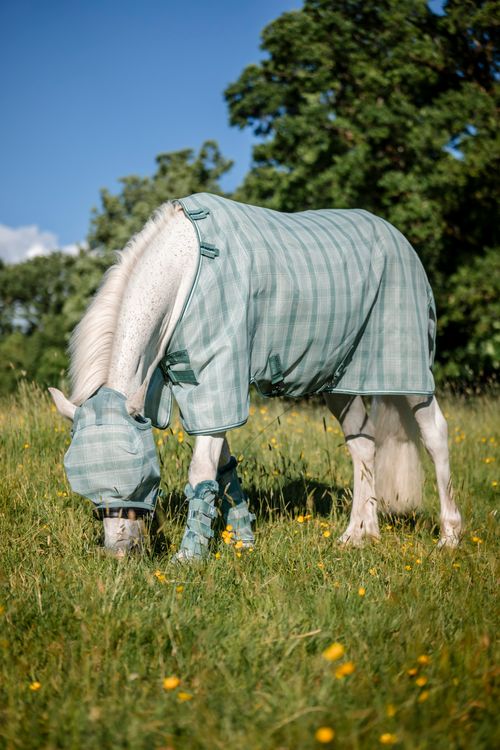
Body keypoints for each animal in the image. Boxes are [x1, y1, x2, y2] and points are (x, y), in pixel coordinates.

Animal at [50, 193, 462, 559]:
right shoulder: (205, 387)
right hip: (342, 382)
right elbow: (223, 466)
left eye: (144, 476)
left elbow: (201, 469)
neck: (189, 267)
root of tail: (399, 238)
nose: (121, 553)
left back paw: (449, 538)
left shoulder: (219, 373)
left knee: (435, 435)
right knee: (363, 445)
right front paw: (243, 540)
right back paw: (359, 535)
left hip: (408, 372)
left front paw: (190, 556)